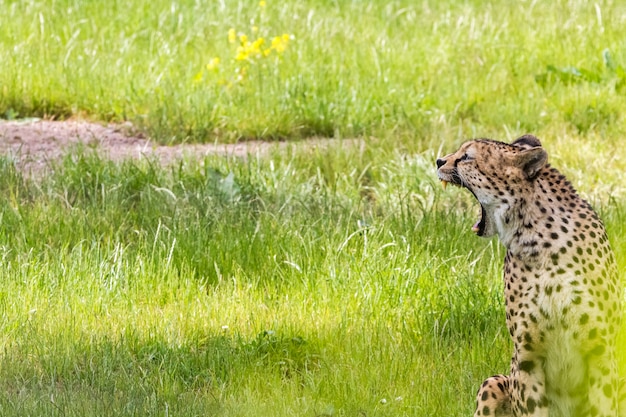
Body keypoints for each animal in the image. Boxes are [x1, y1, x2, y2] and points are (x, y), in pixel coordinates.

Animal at [436, 135, 620, 414]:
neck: (536, 242)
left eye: (467, 157)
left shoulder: (601, 353)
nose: (438, 161)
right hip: (493, 382)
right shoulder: (526, 357)